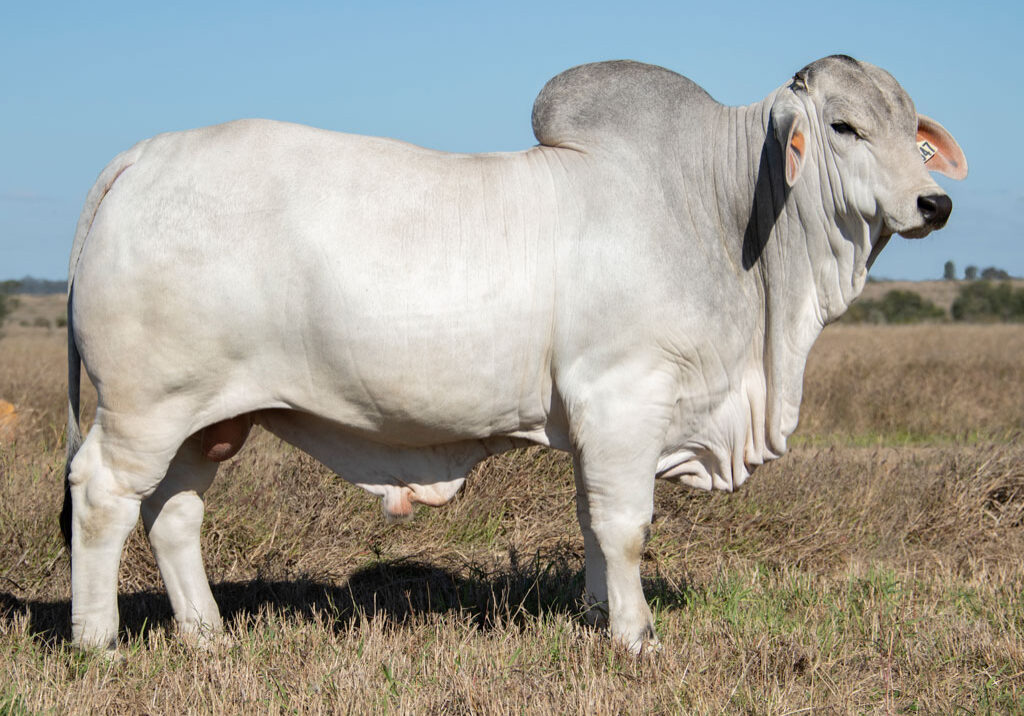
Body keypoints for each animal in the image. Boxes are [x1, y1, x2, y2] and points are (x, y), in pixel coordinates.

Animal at [62, 55, 966, 654]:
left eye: (912, 131)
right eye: (844, 127)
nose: (936, 203)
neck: (718, 207)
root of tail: (143, 156)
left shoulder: (601, 424)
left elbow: (593, 524)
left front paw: (600, 616)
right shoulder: (624, 399)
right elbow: (626, 525)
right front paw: (637, 639)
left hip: (210, 417)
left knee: (174, 512)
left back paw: (207, 635)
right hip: (146, 406)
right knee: (104, 496)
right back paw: (97, 641)